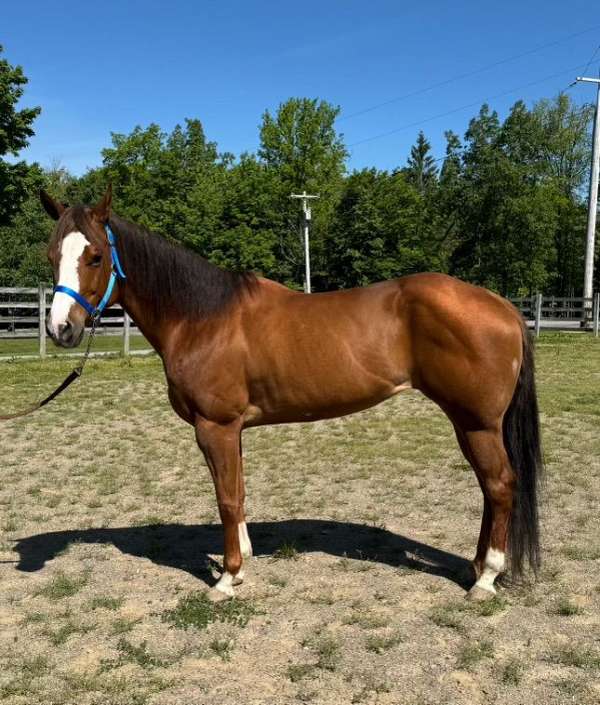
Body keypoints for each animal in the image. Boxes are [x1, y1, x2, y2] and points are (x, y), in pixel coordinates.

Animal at [39, 187, 540, 600]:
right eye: (51, 254)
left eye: (96, 256)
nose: (62, 329)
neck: (202, 317)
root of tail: (503, 306)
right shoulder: (231, 430)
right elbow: (238, 491)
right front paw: (241, 563)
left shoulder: (215, 427)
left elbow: (226, 498)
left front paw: (225, 579)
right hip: (466, 422)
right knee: (488, 488)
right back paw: (476, 567)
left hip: (477, 423)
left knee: (499, 485)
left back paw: (486, 579)